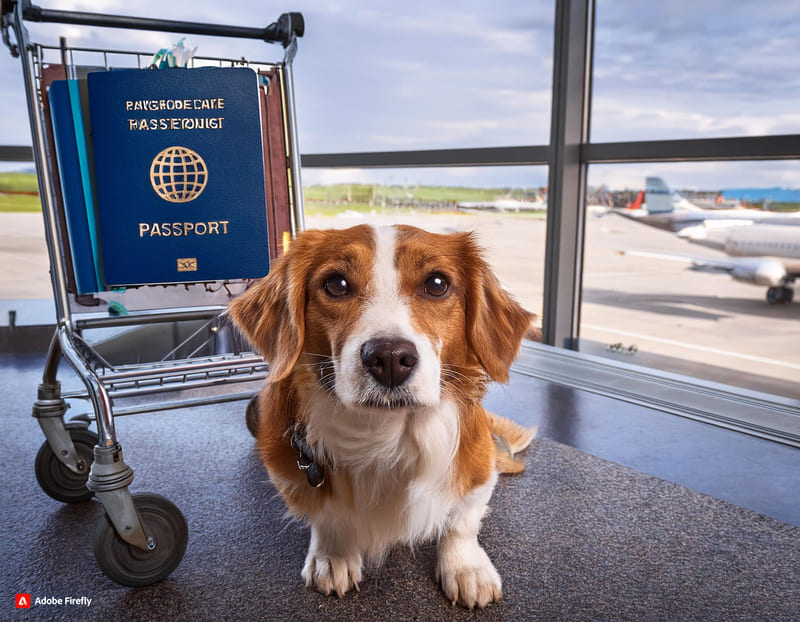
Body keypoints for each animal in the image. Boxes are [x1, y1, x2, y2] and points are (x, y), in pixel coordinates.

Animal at [227, 223, 536, 608]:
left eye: (437, 284)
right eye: (336, 284)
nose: (389, 358)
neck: (387, 436)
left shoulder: (479, 463)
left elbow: (461, 519)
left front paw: (466, 566)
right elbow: (328, 517)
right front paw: (333, 554)